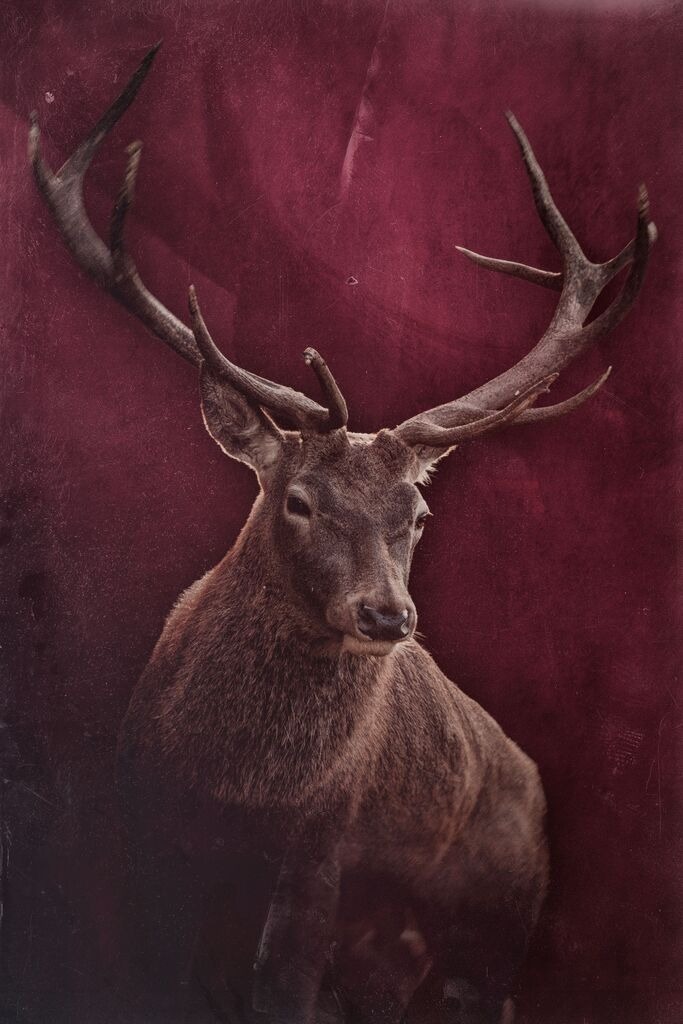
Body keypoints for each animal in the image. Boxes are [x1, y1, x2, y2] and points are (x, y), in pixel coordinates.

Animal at [29, 44, 655, 1024]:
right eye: (299, 500)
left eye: (418, 516)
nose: (386, 616)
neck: (234, 787)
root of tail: (527, 778)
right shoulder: (140, 822)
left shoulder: (320, 847)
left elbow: (279, 988)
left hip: (495, 915)